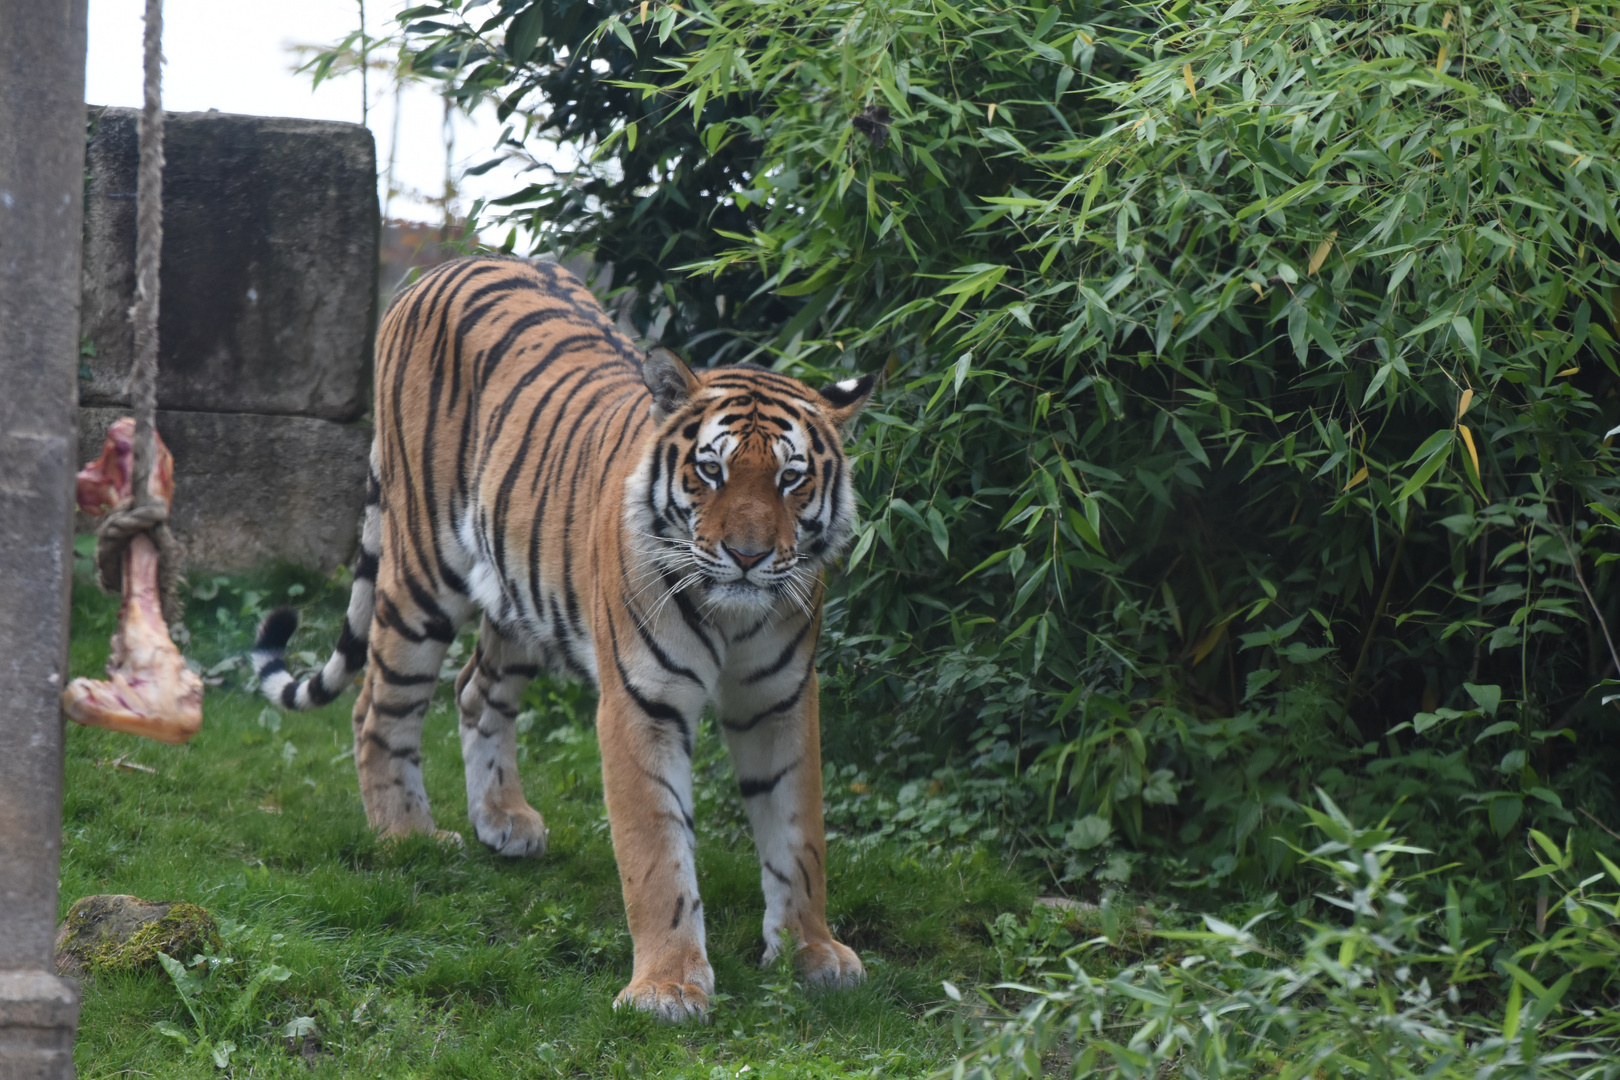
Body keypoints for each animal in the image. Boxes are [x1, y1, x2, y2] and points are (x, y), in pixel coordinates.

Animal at [249, 255, 874, 1023]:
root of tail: (447, 265)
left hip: (522, 593)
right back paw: (407, 838)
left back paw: (503, 820)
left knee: (475, 691)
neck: (736, 615)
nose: (749, 557)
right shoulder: (641, 703)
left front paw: (812, 953)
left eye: (791, 479)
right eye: (711, 470)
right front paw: (666, 987)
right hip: (423, 568)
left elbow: (799, 833)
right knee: (379, 707)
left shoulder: (780, 700)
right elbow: (656, 850)